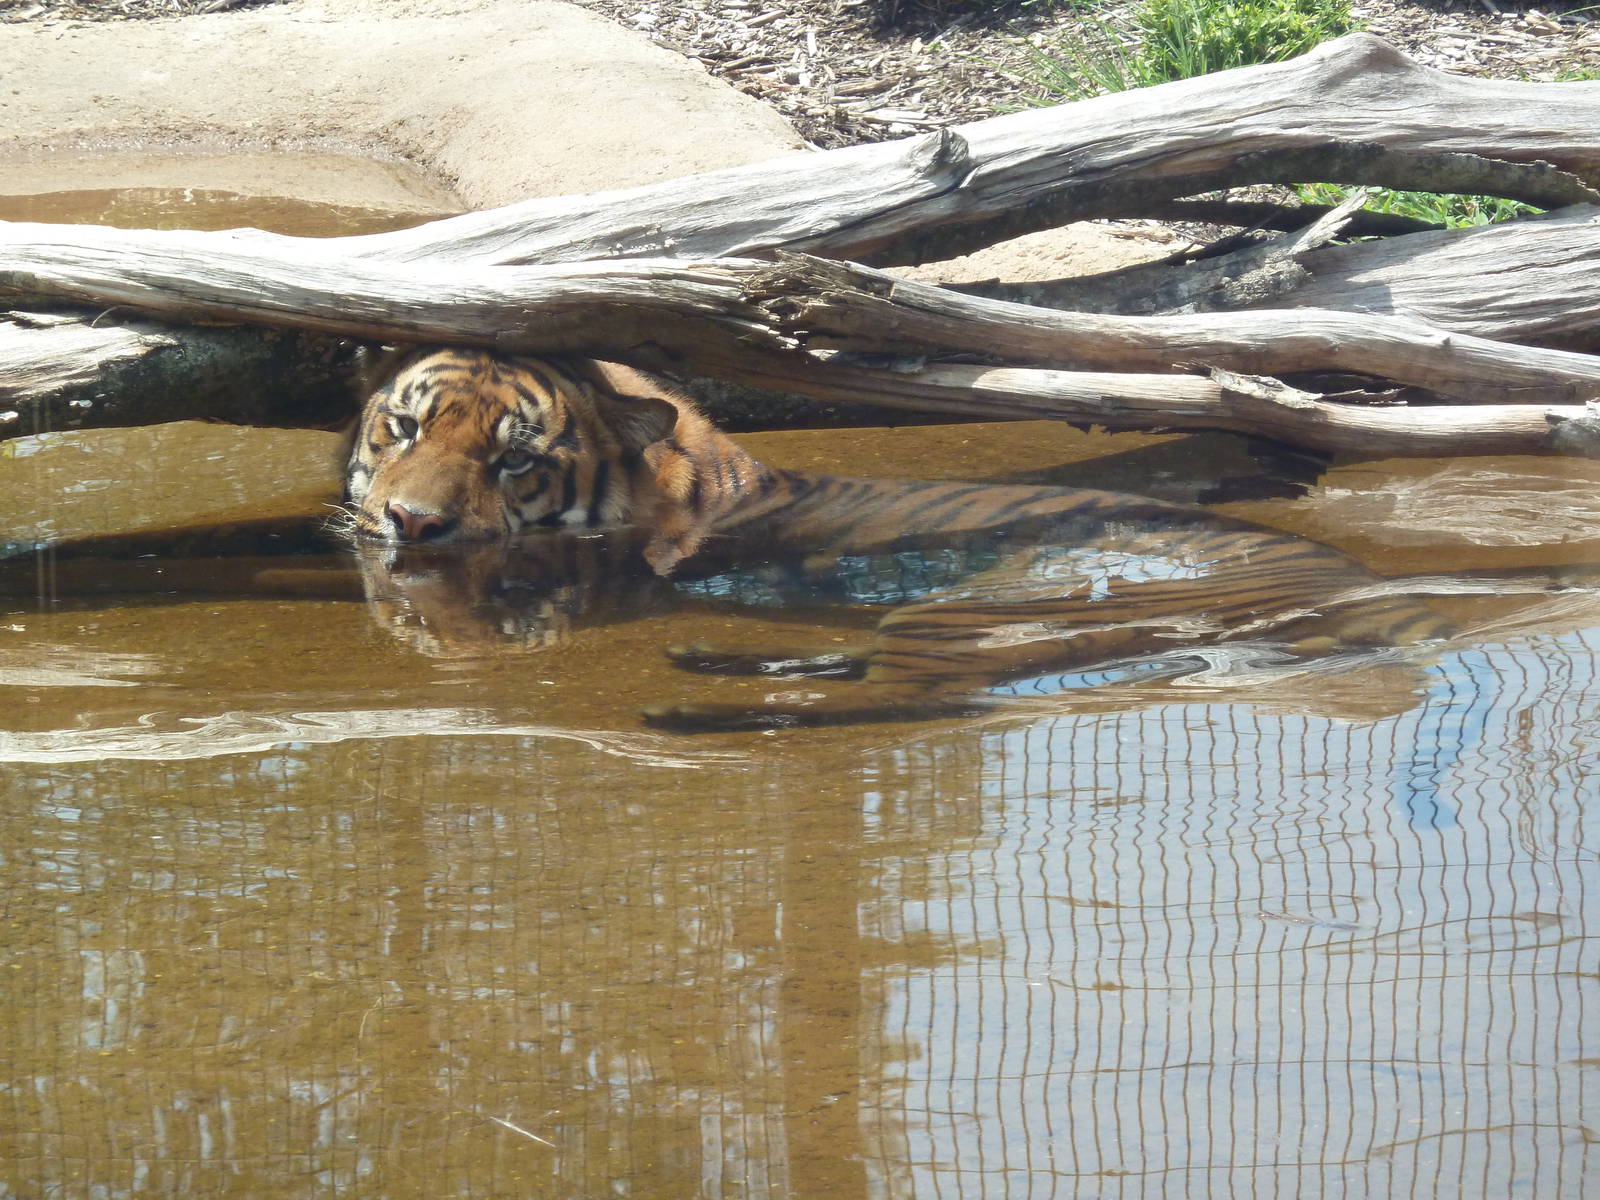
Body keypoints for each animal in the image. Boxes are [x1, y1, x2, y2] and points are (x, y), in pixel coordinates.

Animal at [342, 347, 1451, 730]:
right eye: (405, 428)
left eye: (515, 462)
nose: (409, 521)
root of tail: (1363, 584)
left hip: (966, 618)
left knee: (914, 703)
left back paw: (700, 708)